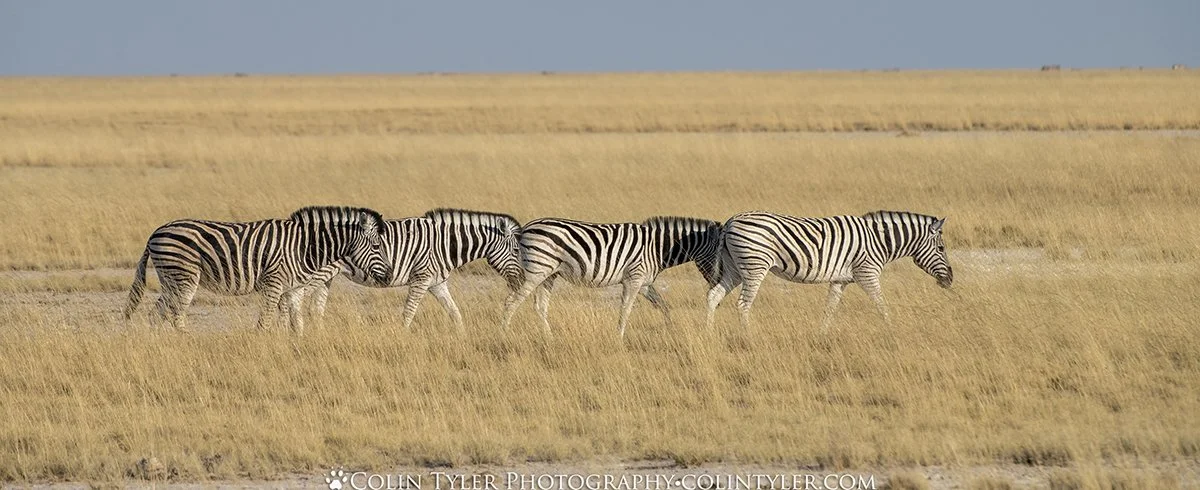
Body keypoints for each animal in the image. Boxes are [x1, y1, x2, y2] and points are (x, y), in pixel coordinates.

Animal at [123, 206, 390, 333]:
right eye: (377, 246)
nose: (388, 276)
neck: (304, 246)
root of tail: (155, 232)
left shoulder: (292, 288)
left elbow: (295, 321)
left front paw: (296, 346)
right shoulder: (273, 283)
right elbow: (266, 320)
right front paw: (265, 345)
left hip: (170, 278)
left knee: (157, 313)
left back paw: (160, 344)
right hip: (184, 277)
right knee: (177, 314)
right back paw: (184, 341)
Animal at [307, 208, 523, 330]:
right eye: (516, 250)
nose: (522, 280)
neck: (446, 244)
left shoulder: (437, 283)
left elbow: (455, 313)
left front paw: (462, 339)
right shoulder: (421, 279)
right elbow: (409, 312)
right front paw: (402, 337)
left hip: (327, 276)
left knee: (316, 308)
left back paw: (320, 335)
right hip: (319, 272)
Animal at [501, 216, 723, 337]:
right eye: (720, 255)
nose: (717, 285)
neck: (657, 248)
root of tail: (525, 229)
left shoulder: (644, 283)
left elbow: (663, 306)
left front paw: (670, 330)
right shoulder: (634, 279)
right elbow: (626, 309)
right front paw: (619, 337)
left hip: (548, 275)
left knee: (540, 306)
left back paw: (550, 338)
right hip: (536, 272)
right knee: (511, 301)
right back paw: (505, 335)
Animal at [705, 210, 953, 329]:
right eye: (941, 248)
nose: (950, 280)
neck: (879, 241)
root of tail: (731, 220)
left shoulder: (839, 279)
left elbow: (830, 309)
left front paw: (821, 334)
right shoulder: (867, 273)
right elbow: (881, 303)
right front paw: (892, 329)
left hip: (735, 268)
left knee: (714, 295)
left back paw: (708, 334)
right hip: (754, 266)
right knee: (743, 304)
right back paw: (749, 336)